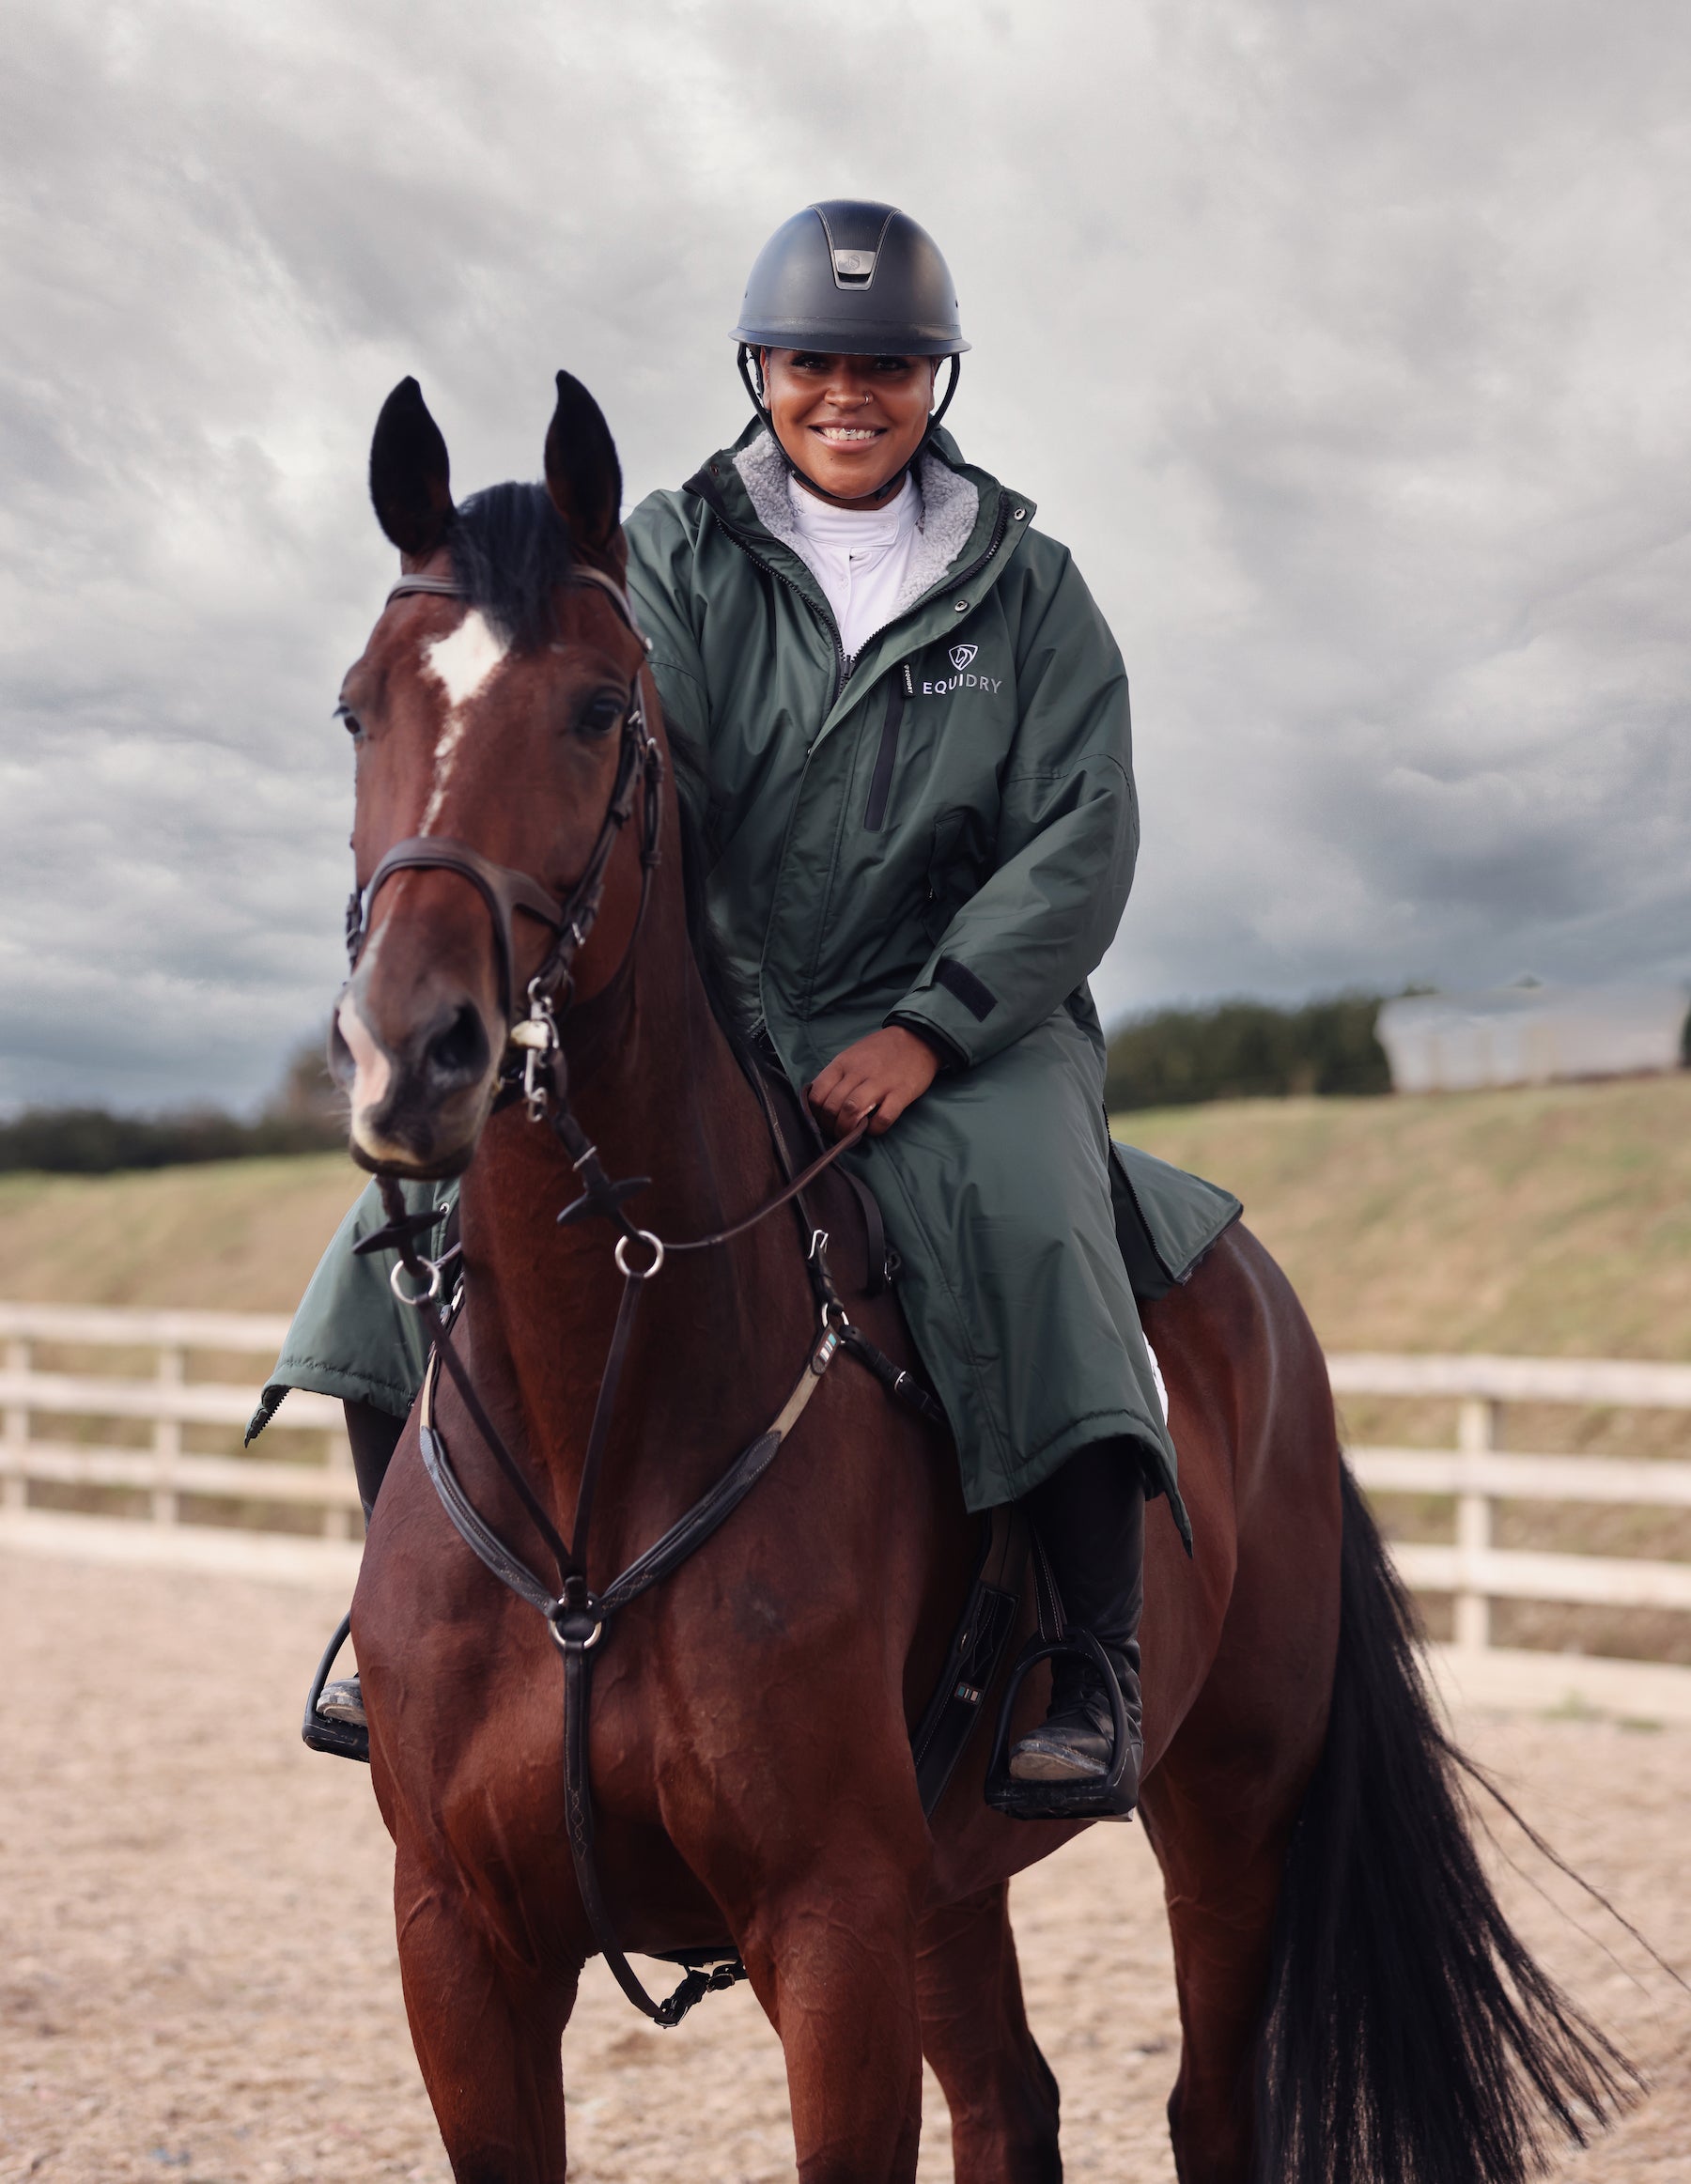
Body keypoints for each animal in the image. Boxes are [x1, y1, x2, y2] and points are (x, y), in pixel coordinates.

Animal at [329, 367, 1630, 2183]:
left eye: (595, 711)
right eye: (357, 711)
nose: (414, 1053)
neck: (605, 1417)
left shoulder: (833, 1931)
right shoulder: (460, 1943)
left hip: (1226, 1808)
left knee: (1208, 2102)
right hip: (951, 1886)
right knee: (1014, 2107)